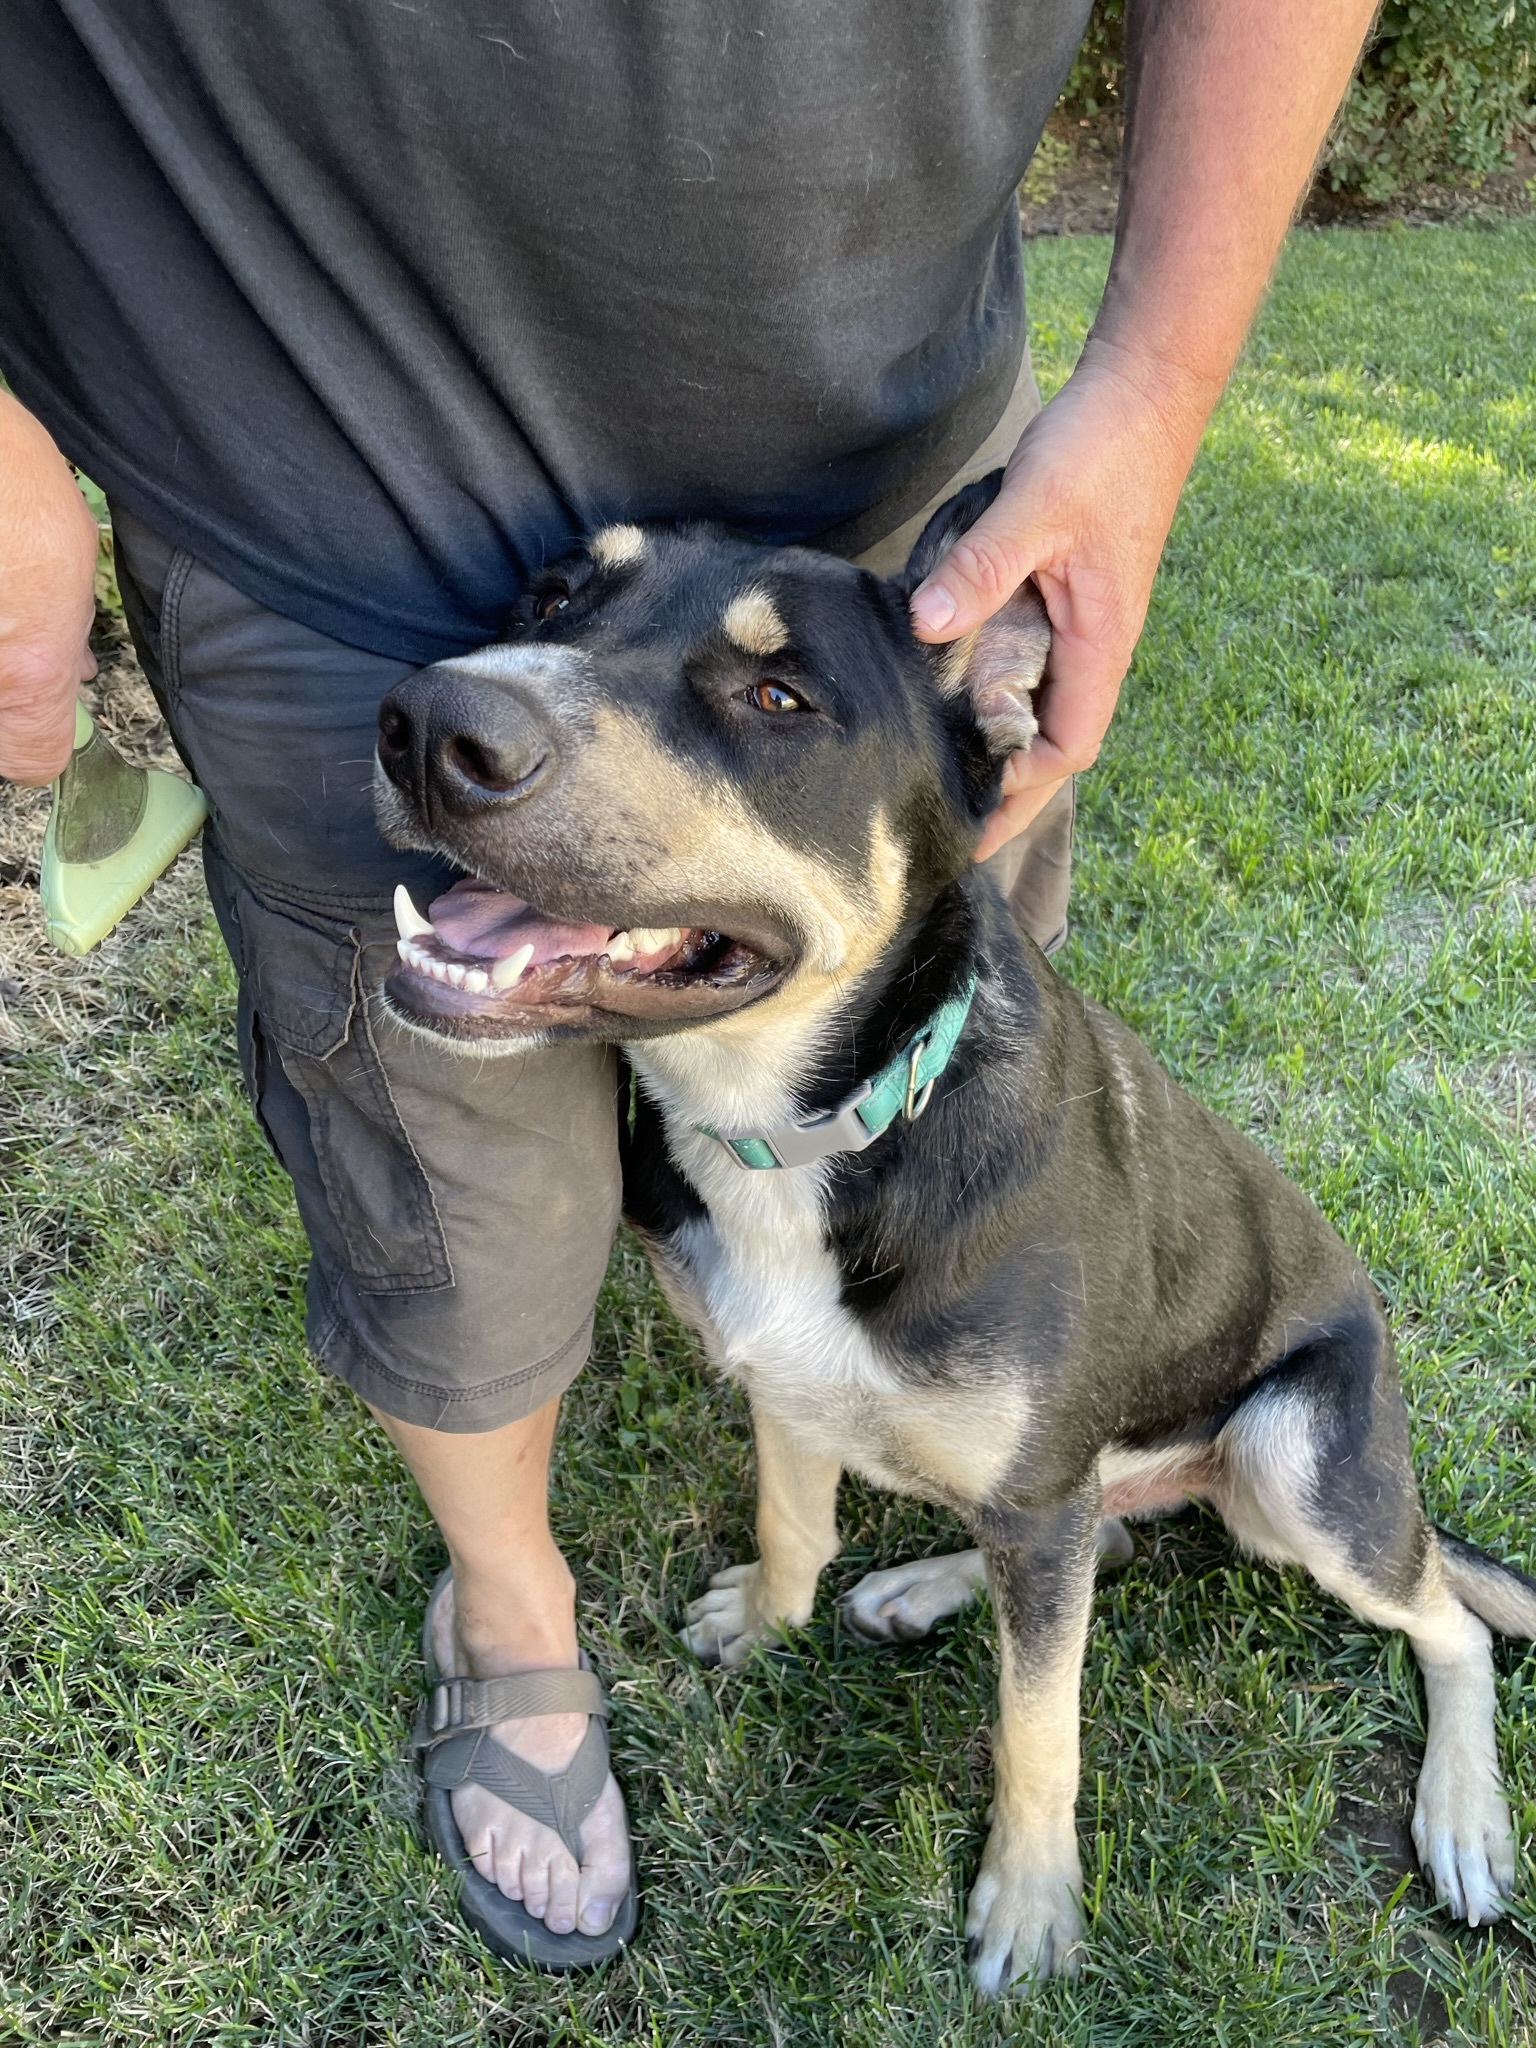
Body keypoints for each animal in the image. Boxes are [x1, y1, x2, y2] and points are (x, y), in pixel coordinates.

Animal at [372, 483, 1536, 1998]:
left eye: (779, 694)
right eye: (556, 598)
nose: (423, 723)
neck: (820, 1129)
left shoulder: (1039, 1488)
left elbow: (1042, 1725)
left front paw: (1030, 1903)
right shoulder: (793, 1387)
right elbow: (795, 1519)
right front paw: (776, 1615)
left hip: (1298, 1461)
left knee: (1441, 1618)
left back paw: (1462, 1819)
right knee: (1109, 1539)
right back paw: (923, 1586)